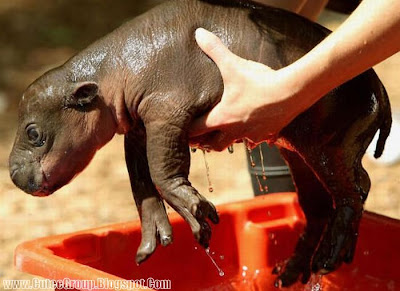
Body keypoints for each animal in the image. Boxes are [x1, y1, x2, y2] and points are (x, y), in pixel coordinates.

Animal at [8, 0, 390, 288]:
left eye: (33, 132)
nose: (12, 174)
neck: (109, 73)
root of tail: (378, 83)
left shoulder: (167, 112)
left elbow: (163, 170)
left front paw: (198, 216)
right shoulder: (140, 127)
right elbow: (141, 180)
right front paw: (153, 242)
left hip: (327, 146)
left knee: (350, 194)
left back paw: (329, 258)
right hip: (299, 150)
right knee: (325, 202)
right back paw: (293, 272)